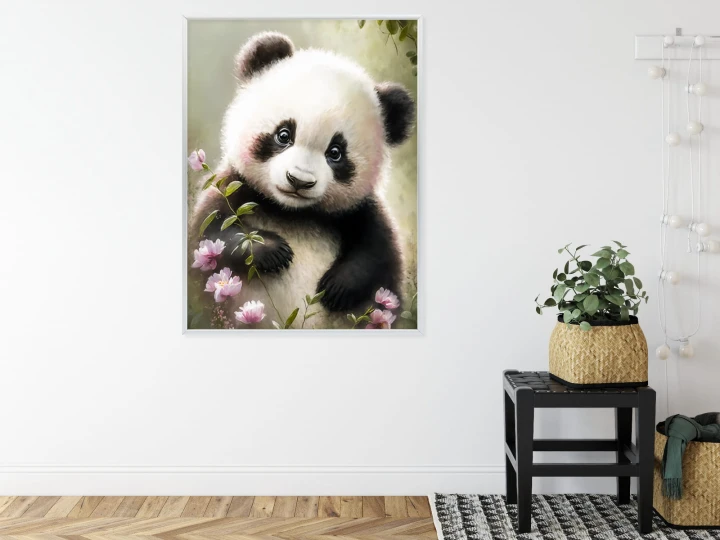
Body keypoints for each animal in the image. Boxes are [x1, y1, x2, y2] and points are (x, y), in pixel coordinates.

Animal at [189, 31, 415, 329]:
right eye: (284, 135)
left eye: (335, 152)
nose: (298, 180)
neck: (293, 213)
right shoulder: (234, 189)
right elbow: (210, 235)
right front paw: (273, 250)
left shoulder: (358, 211)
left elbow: (378, 254)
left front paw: (338, 286)